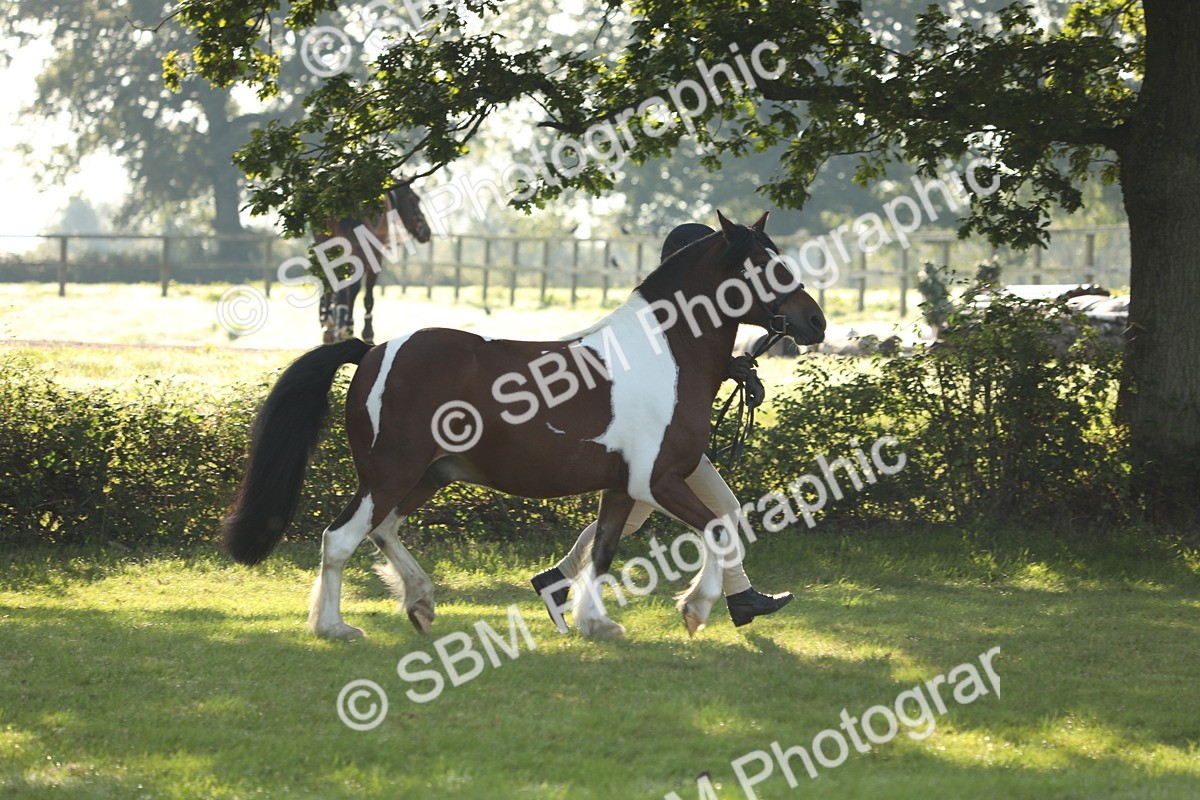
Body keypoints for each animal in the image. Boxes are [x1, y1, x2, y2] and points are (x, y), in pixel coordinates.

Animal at [222, 211, 826, 640]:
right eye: (765, 266)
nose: (815, 322)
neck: (665, 353)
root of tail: (374, 351)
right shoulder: (656, 481)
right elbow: (719, 530)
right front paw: (696, 611)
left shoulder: (621, 487)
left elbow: (602, 553)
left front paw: (595, 623)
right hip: (391, 473)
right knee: (341, 538)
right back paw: (336, 627)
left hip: (427, 475)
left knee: (382, 531)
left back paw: (420, 602)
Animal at [317, 180, 432, 345]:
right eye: (415, 199)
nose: (426, 231)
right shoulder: (374, 257)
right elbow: (366, 295)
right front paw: (364, 332)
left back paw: (330, 324)